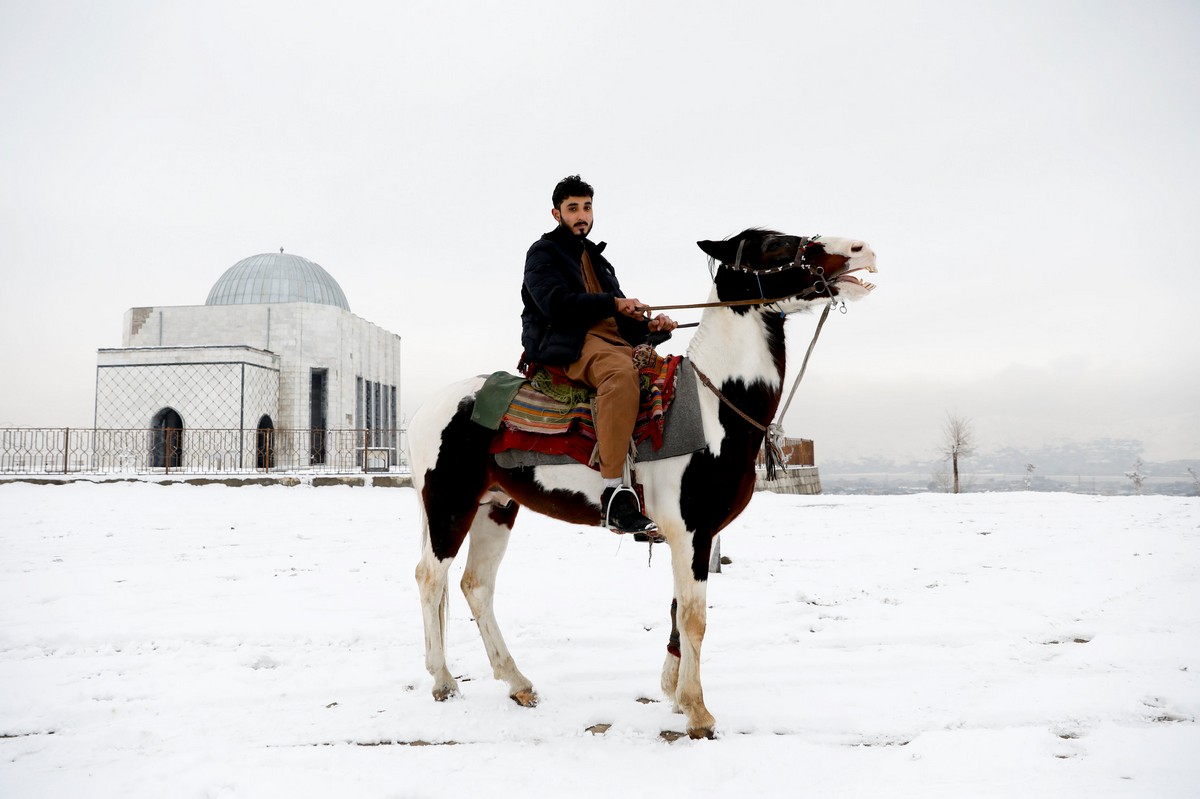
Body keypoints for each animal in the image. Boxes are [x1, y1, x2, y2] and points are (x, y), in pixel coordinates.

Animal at [410, 226, 873, 739]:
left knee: (476, 585)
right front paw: (698, 713)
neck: (713, 409)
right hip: (449, 504)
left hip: (495, 507)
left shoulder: (691, 536)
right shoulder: (690, 531)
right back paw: (443, 681)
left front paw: (672, 693)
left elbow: (676, 611)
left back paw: (518, 683)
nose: (861, 250)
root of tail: (426, 408)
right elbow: (694, 618)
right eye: (772, 244)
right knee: (432, 577)